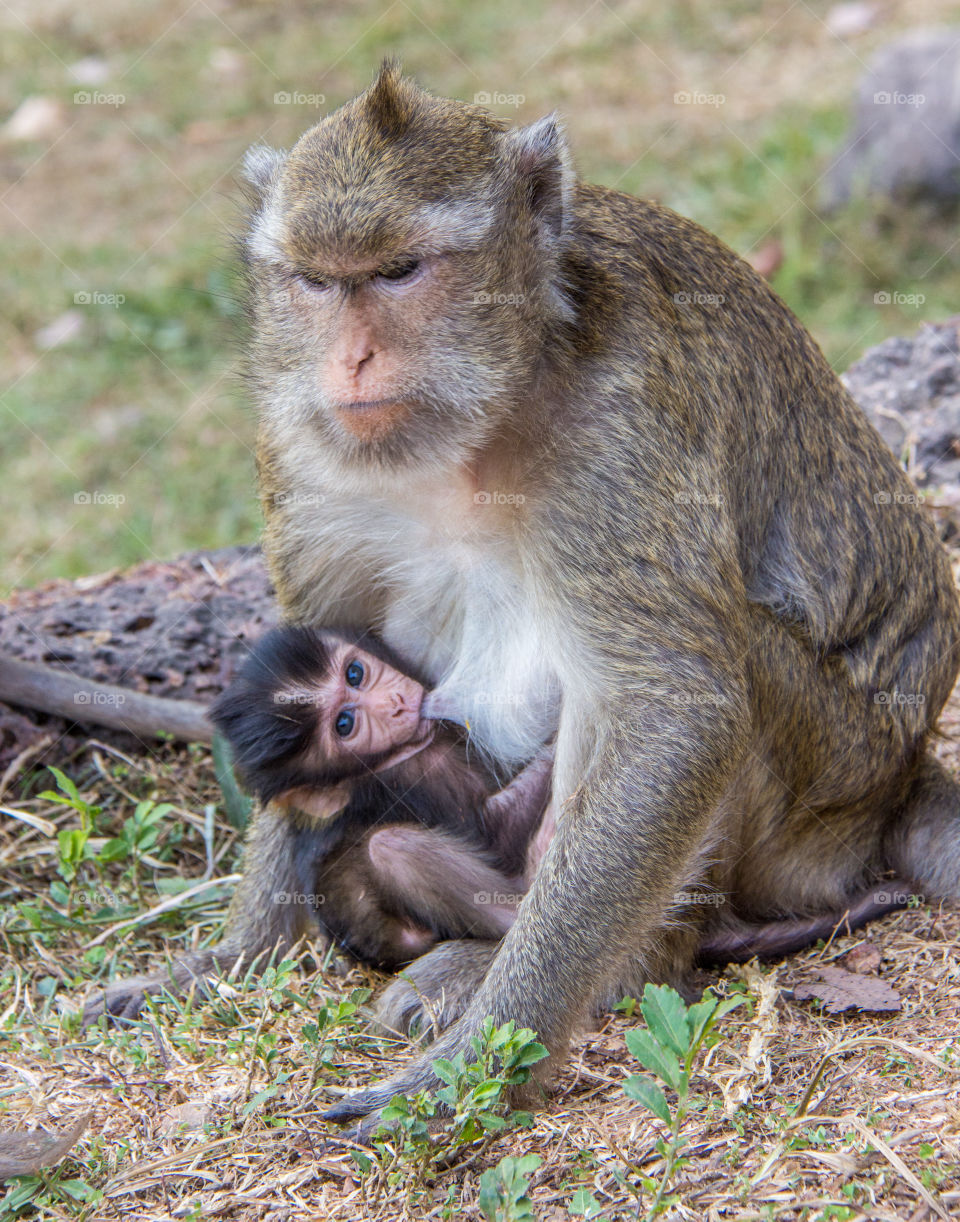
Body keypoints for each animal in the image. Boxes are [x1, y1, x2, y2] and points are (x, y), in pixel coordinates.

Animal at [226, 61, 960, 1133]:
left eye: (399, 272)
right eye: (316, 283)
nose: (350, 360)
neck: (490, 408)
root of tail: (902, 778)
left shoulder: (622, 426)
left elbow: (676, 717)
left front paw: (477, 1060)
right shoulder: (298, 438)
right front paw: (223, 959)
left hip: (827, 790)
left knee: (706, 679)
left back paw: (602, 969)